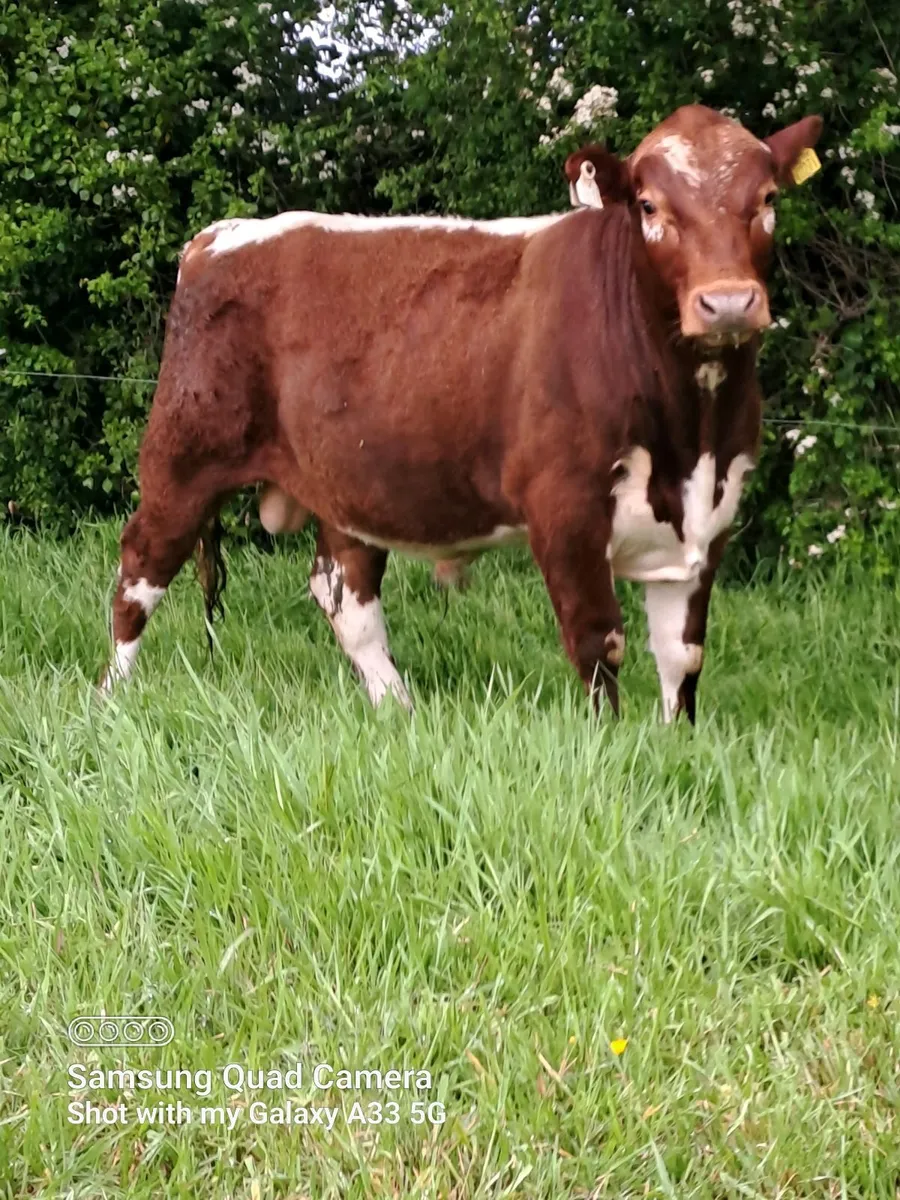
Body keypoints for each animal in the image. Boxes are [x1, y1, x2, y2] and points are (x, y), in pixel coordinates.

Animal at [101, 104, 822, 722]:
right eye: (650, 205)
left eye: (768, 200)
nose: (726, 302)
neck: (688, 430)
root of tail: (224, 233)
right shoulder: (564, 507)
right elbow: (598, 643)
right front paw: (611, 745)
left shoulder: (713, 512)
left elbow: (683, 655)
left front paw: (675, 744)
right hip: (184, 458)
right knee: (139, 571)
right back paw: (109, 699)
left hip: (344, 482)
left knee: (344, 594)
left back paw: (400, 711)